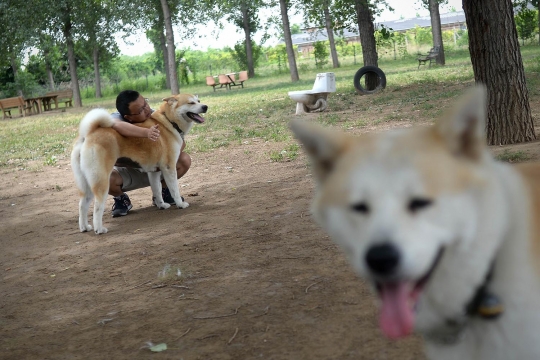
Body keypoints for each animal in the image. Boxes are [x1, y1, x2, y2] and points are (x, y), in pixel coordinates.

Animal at [71, 93, 207, 233]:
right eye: (191, 103)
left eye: (199, 101)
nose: (205, 106)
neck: (168, 121)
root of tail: (88, 134)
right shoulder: (169, 168)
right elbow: (175, 190)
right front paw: (180, 204)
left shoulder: (154, 172)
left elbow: (157, 190)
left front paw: (161, 205)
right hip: (101, 180)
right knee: (97, 207)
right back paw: (99, 229)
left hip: (86, 183)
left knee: (82, 205)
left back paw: (84, 227)